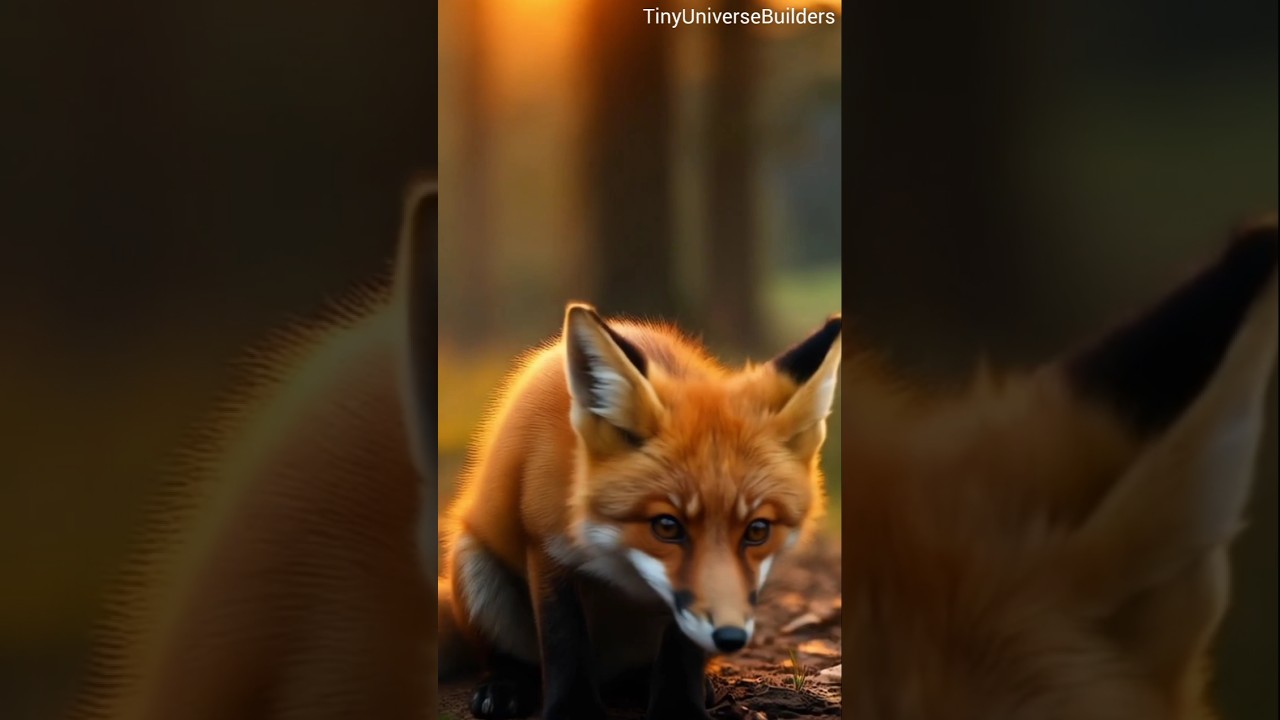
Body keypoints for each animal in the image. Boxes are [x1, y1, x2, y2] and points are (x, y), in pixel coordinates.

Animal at [437, 305, 842, 720]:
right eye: (666, 526)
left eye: (757, 530)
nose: (730, 637)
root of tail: (609, 671)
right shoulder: (547, 547)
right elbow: (564, 640)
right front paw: (574, 710)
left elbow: (681, 652)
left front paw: (679, 708)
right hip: (474, 568)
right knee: (508, 658)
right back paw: (506, 684)